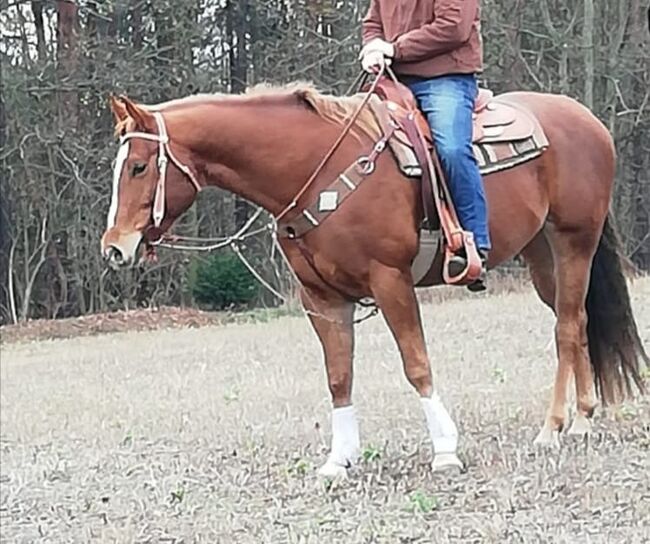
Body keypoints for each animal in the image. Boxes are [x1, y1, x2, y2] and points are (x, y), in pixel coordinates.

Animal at [101, 83, 644, 478]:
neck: (316, 169)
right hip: (540, 252)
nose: (115, 247)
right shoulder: (321, 299)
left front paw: (445, 451)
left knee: (567, 327)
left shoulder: (390, 282)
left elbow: (417, 365)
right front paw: (339, 459)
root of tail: (584, 119)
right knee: (576, 323)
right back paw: (581, 416)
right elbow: (339, 377)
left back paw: (558, 427)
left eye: (139, 166)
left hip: (575, 241)